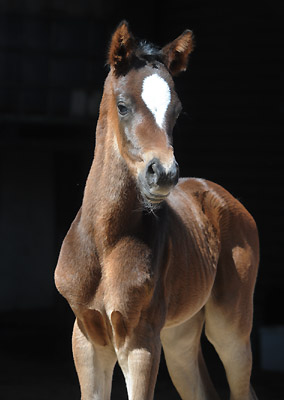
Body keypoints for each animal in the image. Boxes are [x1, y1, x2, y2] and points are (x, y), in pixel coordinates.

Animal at [54, 21, 258, 400]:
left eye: (176, 110)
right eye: (122, 106)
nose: (163, 174)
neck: (105, 241)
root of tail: (219, 194)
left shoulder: (141, 340)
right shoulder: (86, 337)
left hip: (231, 328)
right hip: (180, 335)